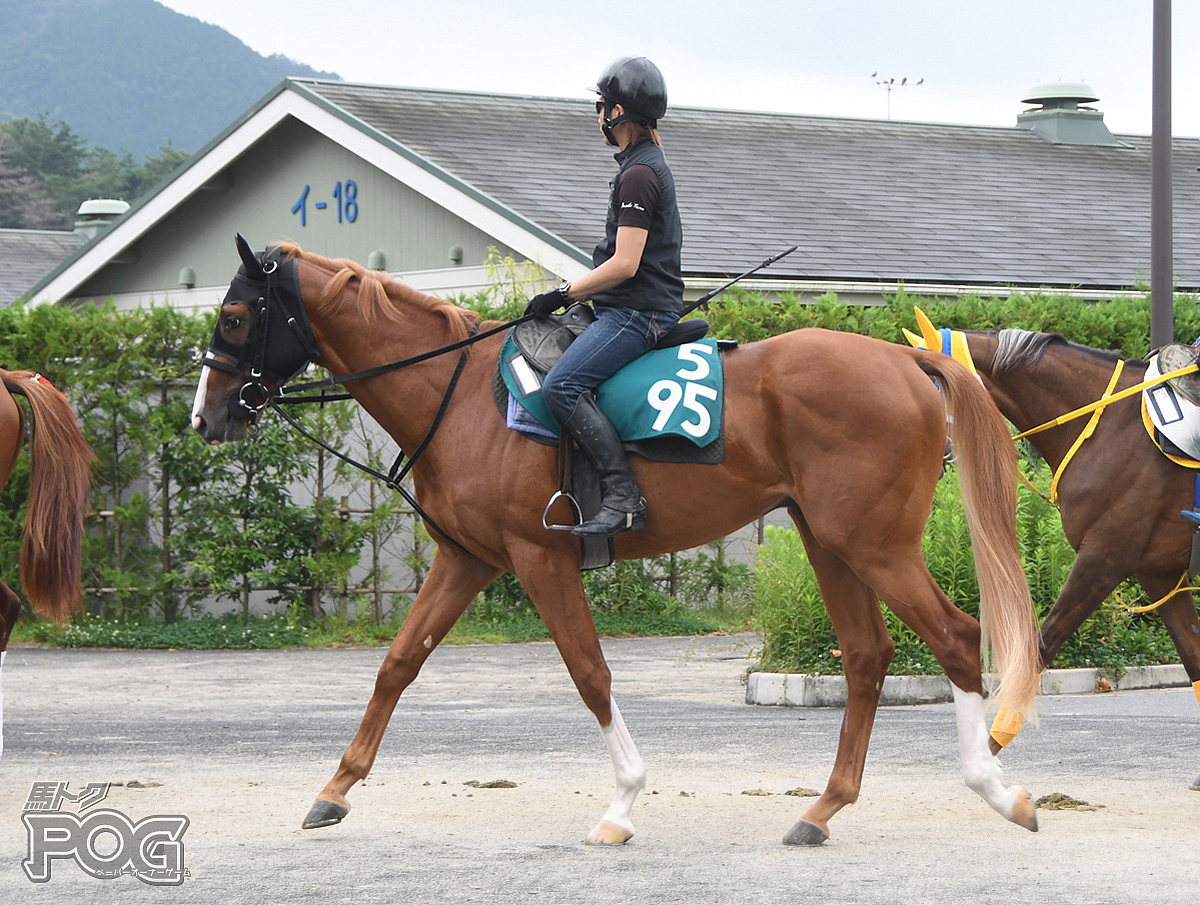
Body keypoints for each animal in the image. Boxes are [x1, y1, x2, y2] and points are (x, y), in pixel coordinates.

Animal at [192, 236, 1046, 844]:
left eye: (235, 318)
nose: (207, 416)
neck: (457, 394)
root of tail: (905, 357)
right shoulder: (468, 559)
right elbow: (398, 663)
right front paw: (334, 789)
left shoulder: (539, 559)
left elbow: (589, 671)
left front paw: (623, 803)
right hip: (830, 541)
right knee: (868, 654)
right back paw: (822, 809)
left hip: (875, 545)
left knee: (955, 635)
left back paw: (998, 789)